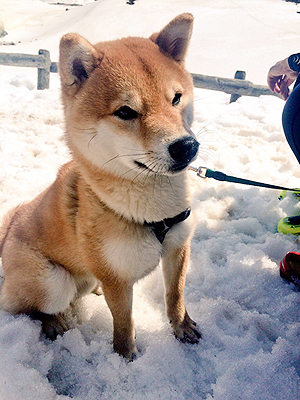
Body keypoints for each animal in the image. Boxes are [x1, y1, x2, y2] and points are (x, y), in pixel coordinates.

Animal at [0, 12, 202, 358]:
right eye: (126, 111)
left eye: (176, 98)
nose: (186, 147)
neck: (153, 215)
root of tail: (8, 231)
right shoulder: (116, 278)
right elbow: (124, 324)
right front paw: (125, 357)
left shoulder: (178, 248)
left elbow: (175, 297)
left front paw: (182, 327)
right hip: (53, 281)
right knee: (24, 308)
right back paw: (53, 322)